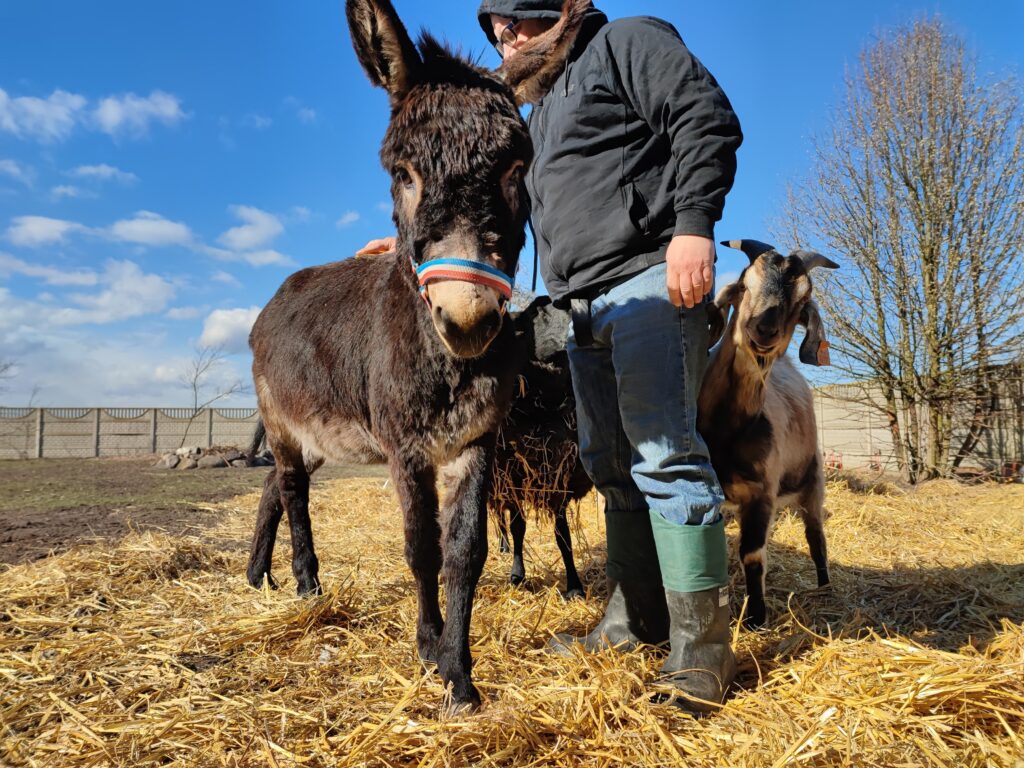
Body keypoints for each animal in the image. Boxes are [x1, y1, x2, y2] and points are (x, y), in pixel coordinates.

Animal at [244, 0, 590, 711]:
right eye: (402, 174)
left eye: (516, 169)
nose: (468, 320)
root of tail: (276, 298)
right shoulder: (406, 448)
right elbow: (421, 550)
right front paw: (430, 648)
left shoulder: (477, 444)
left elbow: (465, 551)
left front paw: (460, 675)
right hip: (284, 422)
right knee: (289, 490)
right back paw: (305, 584)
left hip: (318, 434)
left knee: (271, 491)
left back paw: (260, 577)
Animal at [700, 239, 839, 628]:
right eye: (744, 285)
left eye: (802, 302)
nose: (764, 329)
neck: (726, 429)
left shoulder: (761, 492)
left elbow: (752, 553)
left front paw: (755, 617)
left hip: (813, 479)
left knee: (815, 534)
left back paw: (824, 585)